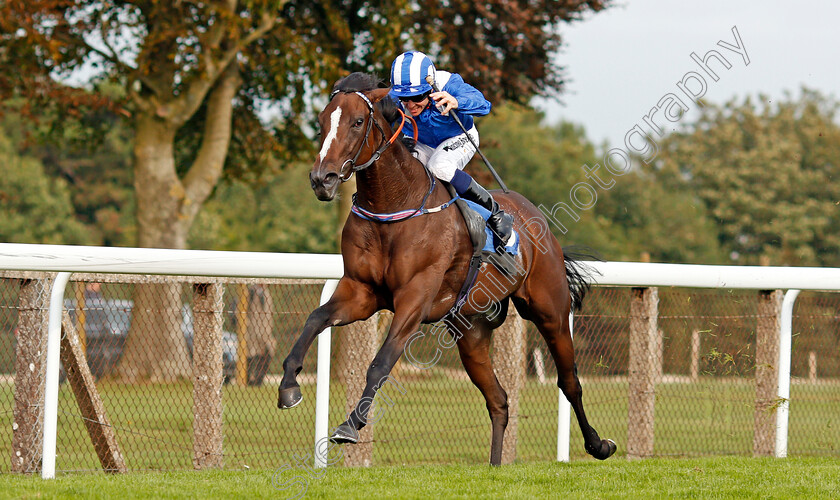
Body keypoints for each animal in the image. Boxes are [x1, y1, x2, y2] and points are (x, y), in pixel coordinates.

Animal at [278, 71, 612, 464]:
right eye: (320, 122)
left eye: (358, 121)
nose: (322, 179)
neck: (394, 204)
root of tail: (533, 215)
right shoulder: (360, 291)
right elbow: (315, 319)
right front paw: (289, 387)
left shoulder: (415, 298)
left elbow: (381, 362)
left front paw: (350, 425)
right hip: (471, 330)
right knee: (498, 400)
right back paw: (495, 465)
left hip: (550, 310)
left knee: (569, 381)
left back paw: (599, 444)